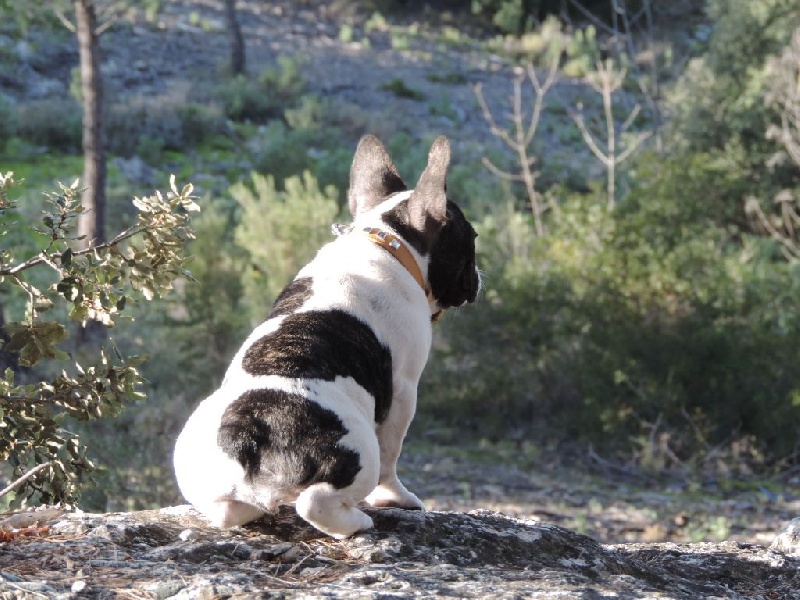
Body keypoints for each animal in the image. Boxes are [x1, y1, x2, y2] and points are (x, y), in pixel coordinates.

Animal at [172, 135, 478, 540]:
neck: (387, 242)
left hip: (192, 462)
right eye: (472, 239)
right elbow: (393, 456)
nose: (477, 278)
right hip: (358, 448)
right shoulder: (403, 391)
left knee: (225, 510)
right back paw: (356, 521)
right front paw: (396, 498)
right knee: (316, 501)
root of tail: (249, 431)